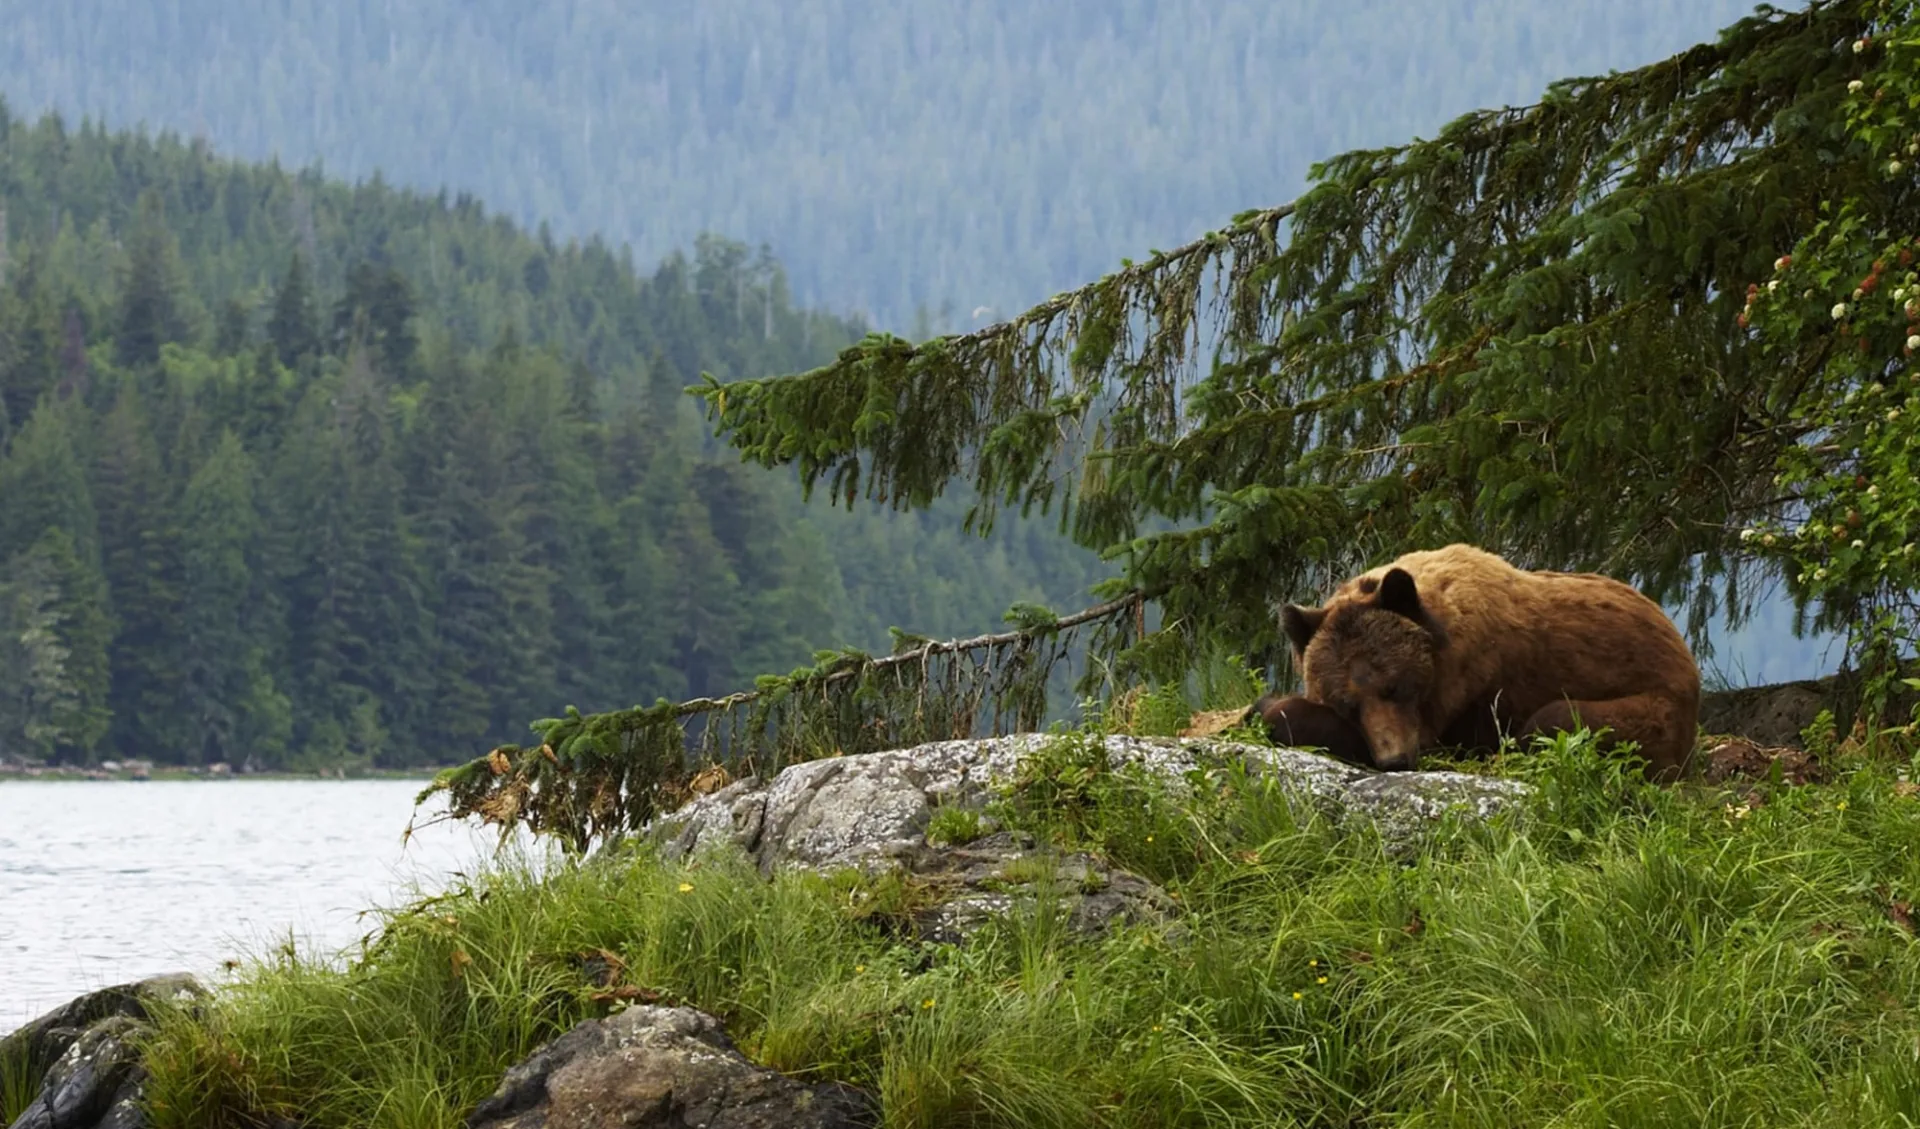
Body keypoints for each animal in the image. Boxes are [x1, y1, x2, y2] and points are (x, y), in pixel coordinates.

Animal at [1251, 545, 1704, 775]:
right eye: (1347, 703)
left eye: (1395, 686)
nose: (1394, 760)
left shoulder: (1469, 692)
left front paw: (1273, 709)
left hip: (1654, 710)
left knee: (1559, 717)